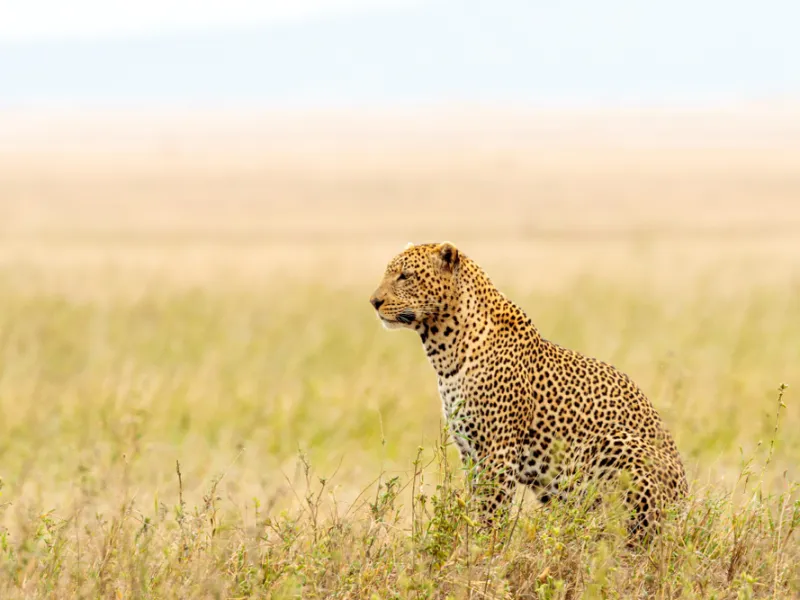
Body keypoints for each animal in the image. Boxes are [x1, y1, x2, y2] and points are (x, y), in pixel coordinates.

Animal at [368, 241, 689, 540]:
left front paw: (484, 549)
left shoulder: (497, 450)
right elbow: (474, 504)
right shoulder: (470, 452)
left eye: (405, 276)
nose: (374, 301)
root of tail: (687, 512)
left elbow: (491, 511)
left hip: (616, 444)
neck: (444, 349)